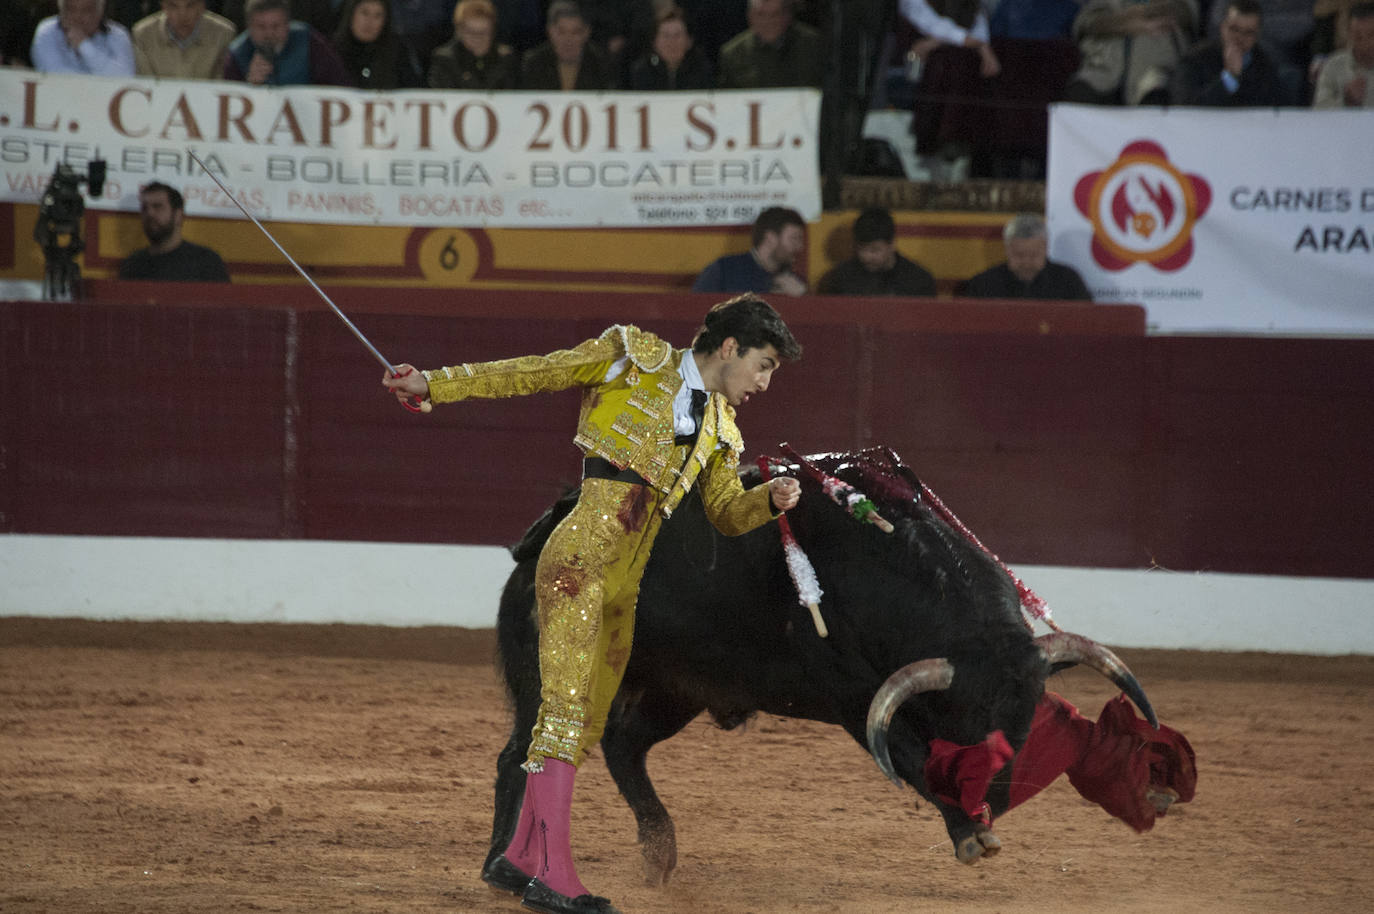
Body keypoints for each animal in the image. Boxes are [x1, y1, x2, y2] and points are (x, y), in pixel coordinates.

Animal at [489, 445, 1176, 879]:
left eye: (1027, 713)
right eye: (965, 718)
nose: (995, 798)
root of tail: (537, 546)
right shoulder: (854, 699)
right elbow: (912, 758)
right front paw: (969, 834)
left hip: (677, 690)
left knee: (624, 744)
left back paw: (659, 852)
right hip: (554, 678)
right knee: (522, 755)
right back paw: (505, 864)